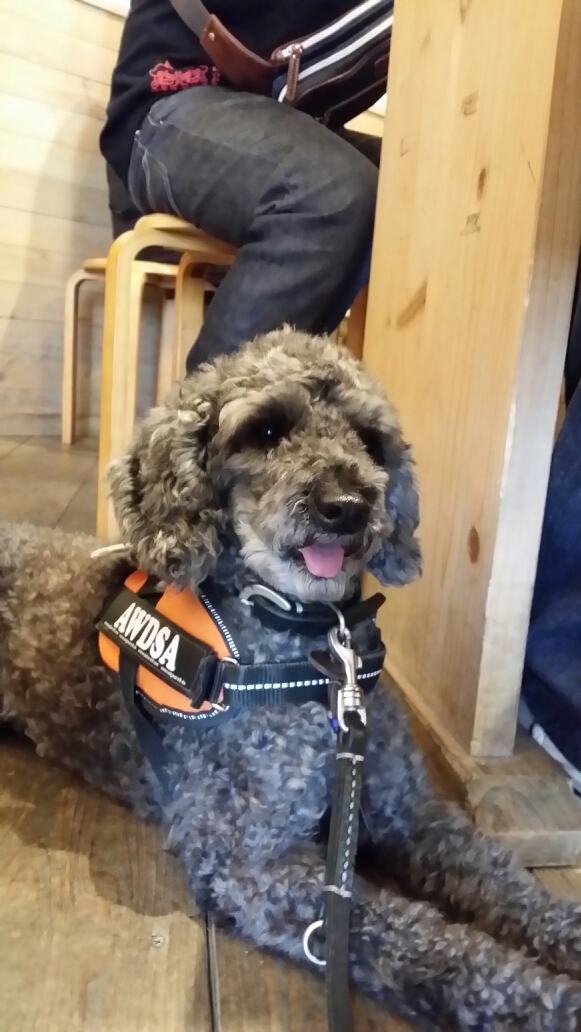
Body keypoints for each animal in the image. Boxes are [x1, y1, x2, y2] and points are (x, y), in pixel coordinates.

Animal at [2, 328, 581, 1031]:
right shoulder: (251, 861)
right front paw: (551, 1003)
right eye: (267, 430)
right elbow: (421, 939)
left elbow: (504, 879)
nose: (348, 506)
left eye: (369, 439)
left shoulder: (410, 810)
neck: (312, 650)